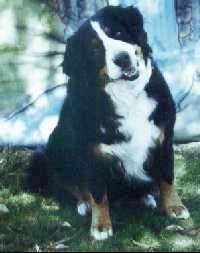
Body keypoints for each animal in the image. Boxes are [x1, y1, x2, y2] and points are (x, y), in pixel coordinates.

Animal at [27, 4, 189, 240]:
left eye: (118, 33)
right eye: (95, 49)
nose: (122, 58)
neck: (128, 96)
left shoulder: (164, 138)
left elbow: (167, 177)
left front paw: (174, 207)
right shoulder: (93, 152)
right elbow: (98, 194)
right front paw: (101, 226)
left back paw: (146, 197)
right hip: (53, 147)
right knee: (68, 184)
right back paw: (83, 203)